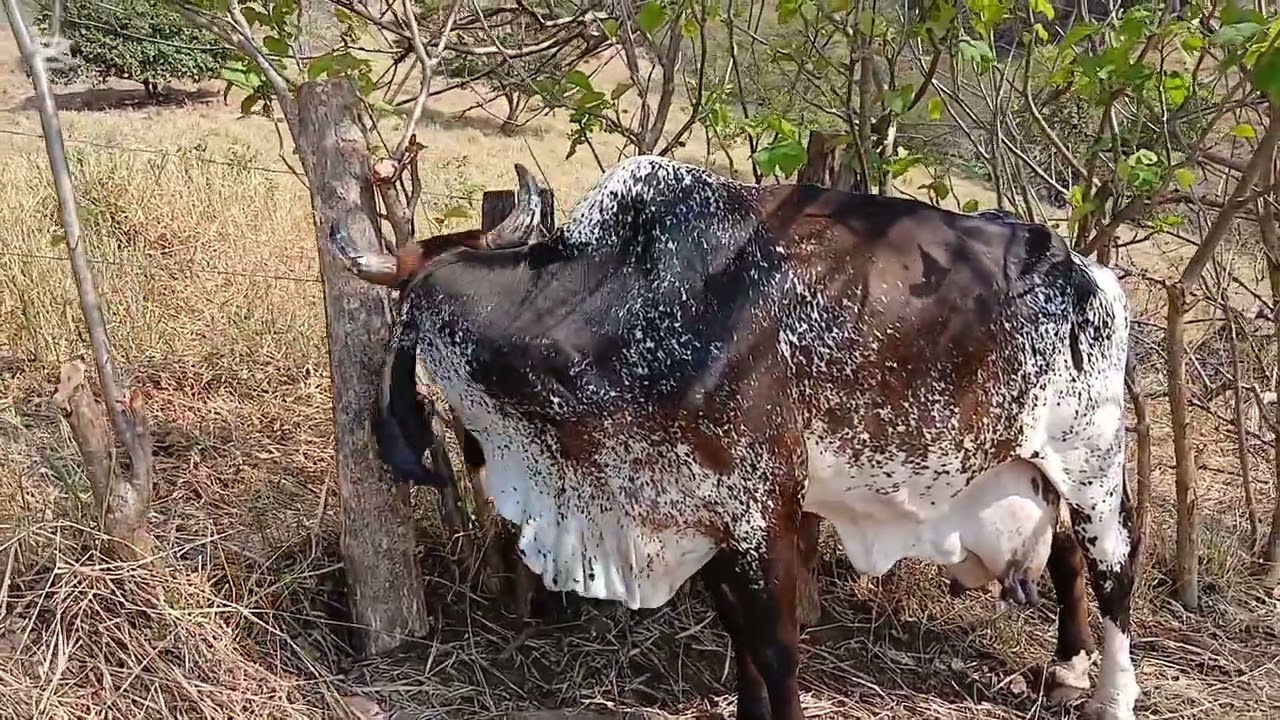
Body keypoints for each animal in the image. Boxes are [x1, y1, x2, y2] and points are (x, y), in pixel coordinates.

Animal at [333, 155, 1139, 720]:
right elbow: (738, 641)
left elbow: (776, 650)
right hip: (1032, 463)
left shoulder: (762, 512)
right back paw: (1067, 671)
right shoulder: (700, 517)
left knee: (1113, 568)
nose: (463, 452)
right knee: (1066, 558)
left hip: (1091, 460)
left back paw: (1111, 694)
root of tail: (1089, 271)